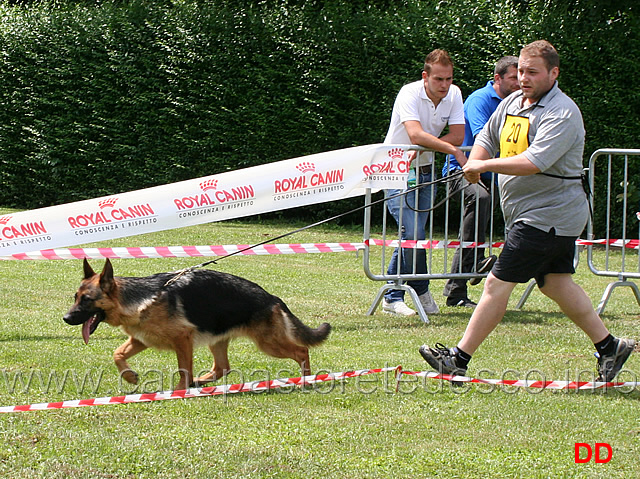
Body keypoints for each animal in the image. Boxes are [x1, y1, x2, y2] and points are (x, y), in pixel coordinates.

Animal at [63, 258, 332, 390]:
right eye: (75, 297)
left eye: (87, 300)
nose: (65, 318)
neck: (141, 298)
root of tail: (272, 297)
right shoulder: (141, 339)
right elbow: (117, 353)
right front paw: (129, 377)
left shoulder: (182, 340)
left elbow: (183, 369)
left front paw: (179, 390)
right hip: (218, 340)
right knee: (222, 368)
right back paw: (201, 382)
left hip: (268, 343)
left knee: (301, 351)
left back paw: (306, 379)